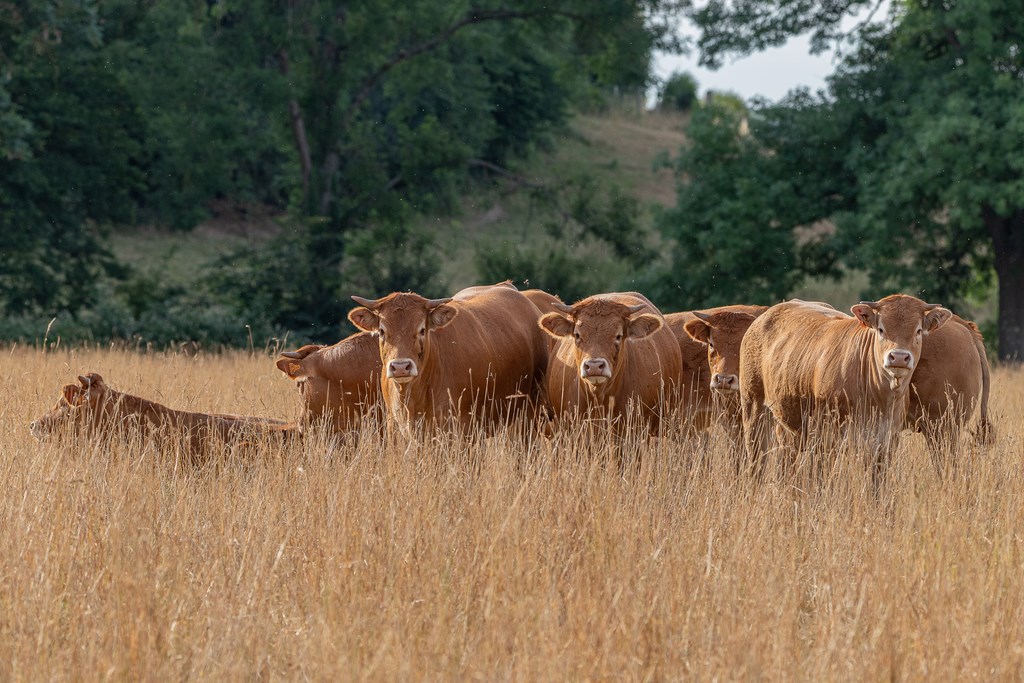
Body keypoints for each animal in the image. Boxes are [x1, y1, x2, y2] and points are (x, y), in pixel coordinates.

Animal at [739, 295, 952, 480]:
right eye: (881, 329)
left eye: (918, 331)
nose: (898, 357)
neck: (878, 398)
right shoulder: (826, 439)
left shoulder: (885, 443)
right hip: (753, 408)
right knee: (756, 461)